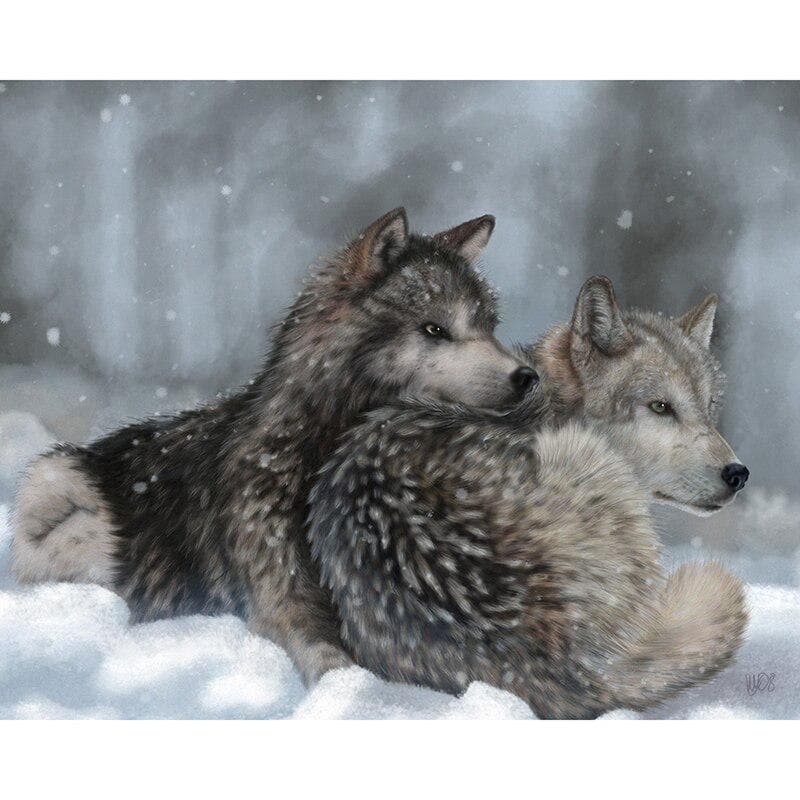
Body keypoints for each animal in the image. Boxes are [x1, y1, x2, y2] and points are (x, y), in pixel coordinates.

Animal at [11, 207, 536, 686]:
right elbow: (331, 664)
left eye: (488, 326)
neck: (317, 452)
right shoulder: (279, 606)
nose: (528, 377)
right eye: (434, 329)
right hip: (54, 482)